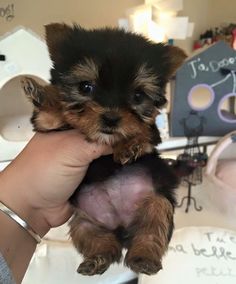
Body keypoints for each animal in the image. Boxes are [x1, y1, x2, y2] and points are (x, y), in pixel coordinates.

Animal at [21, 23, 186, 276]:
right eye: (85, 87)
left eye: (138, 95)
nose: (111, 118)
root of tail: (121, 227)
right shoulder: (48, 128)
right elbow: (50, 118)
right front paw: (43, 94)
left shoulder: (152, 131)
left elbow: (144, 131)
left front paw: (129, 145)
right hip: (84, 221)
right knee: (99, 241)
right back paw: (97, 259)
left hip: (158, 201)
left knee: (152, 229)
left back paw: (143, 257)